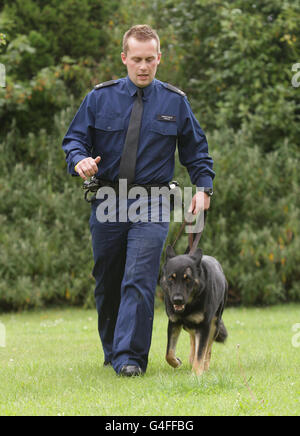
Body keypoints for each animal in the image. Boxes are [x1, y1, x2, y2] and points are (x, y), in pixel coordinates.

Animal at [161, 245, 229, 374]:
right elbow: (168, 353)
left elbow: (201, 352)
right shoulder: (174, 323)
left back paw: (204, 366)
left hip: (214, 325)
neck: (189, 305)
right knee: (193, 339)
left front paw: (197, 373)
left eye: (187, 279)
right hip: (190, 326)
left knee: (208, 349)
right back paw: (192, 358)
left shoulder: (204, 326)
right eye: (171, 278)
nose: (177, 300)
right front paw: (176, 362)